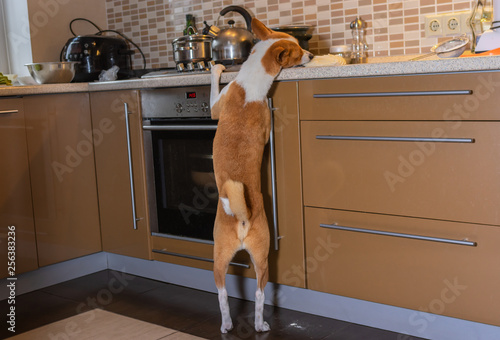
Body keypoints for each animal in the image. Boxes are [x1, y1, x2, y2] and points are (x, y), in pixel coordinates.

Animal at [208, 17, 310, 334]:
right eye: (298, 51)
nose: (312, 55)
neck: (251, 79)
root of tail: (242, 217)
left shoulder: (215, 108)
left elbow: (213, 91)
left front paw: (215, 69)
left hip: (236, 257)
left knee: (236, 293)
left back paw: (241, 325)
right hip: (249, 258)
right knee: (249, 293)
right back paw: (248, 324)